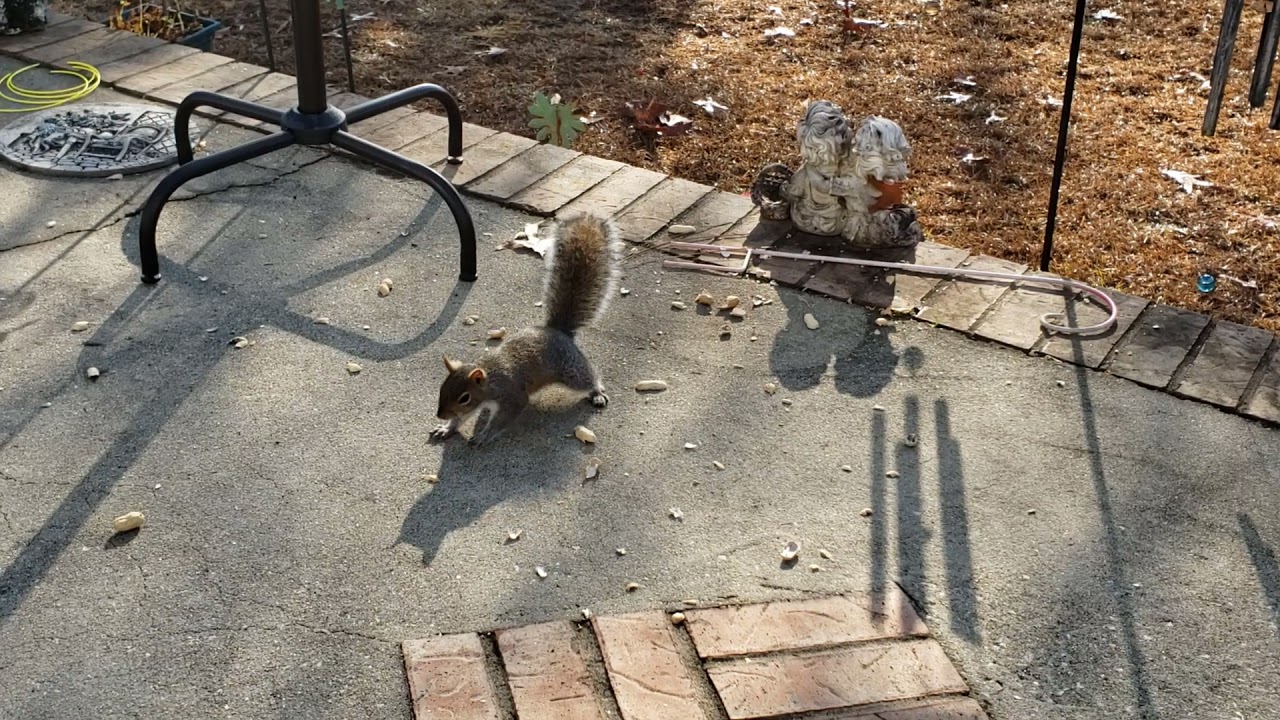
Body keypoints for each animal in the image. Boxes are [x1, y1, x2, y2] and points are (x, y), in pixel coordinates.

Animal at [432, 213, 623, 445]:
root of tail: (557, 330)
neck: (489, 382)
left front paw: (484, 435)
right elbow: (461, 418)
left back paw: (596, 392)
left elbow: (504, 418)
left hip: (570, 369)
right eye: (443, 388)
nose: (440, 414)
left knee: (588, 377)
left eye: (464, 397)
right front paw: (447, 428)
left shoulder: (511, 396)